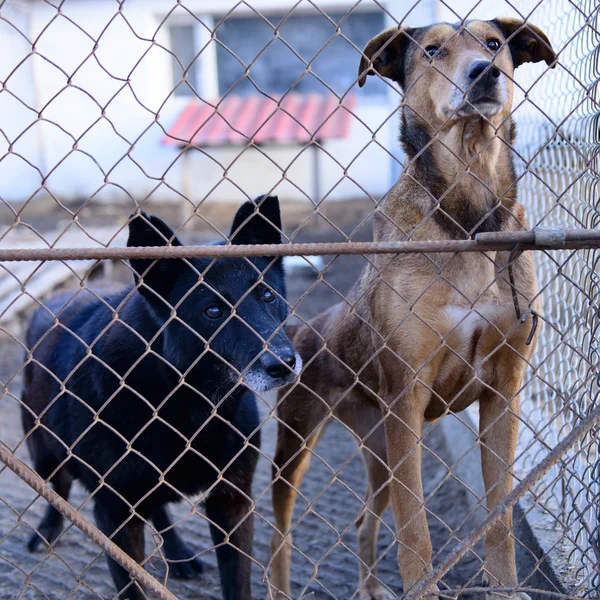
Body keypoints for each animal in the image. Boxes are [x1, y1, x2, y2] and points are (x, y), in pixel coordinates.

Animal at [20, 195, 298, 596]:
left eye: (267, 295)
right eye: (213, 311)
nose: (284, 364)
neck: (185, 405)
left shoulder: (232, 501)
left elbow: (237, 582)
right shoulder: (115, 516)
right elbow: (132, 586)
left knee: (158, 507)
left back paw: (178, 554)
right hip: (42, 449)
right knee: (57, 488)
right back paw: (46, 530)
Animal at [264, 18, 556, 600]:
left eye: (494, 44)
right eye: (432, 51)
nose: (484, 73)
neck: (467, 218)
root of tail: (305, 329)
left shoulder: (503, 390)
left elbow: (500, 518)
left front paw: (506, 586)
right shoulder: (407, 396)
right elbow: (416, 531)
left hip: (380, 446)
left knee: (364, 520)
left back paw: (371, 588)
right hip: (300, 442)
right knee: (278, 535)